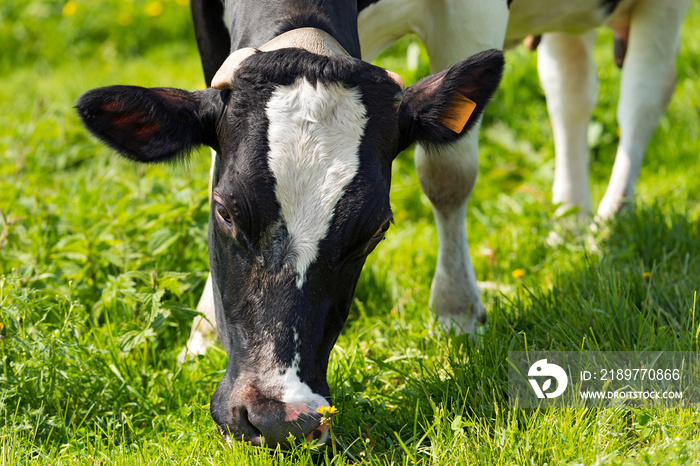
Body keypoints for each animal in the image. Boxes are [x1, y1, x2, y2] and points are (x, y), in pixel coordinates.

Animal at [74, 0, 688, 448]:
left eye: (375, 231)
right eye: (224, 210)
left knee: (641, 98)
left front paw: (456, 310)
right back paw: (571, 223)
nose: (280, 418)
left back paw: (610, 223)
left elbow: (449, 172)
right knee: (570, 85)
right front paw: (202, 333)